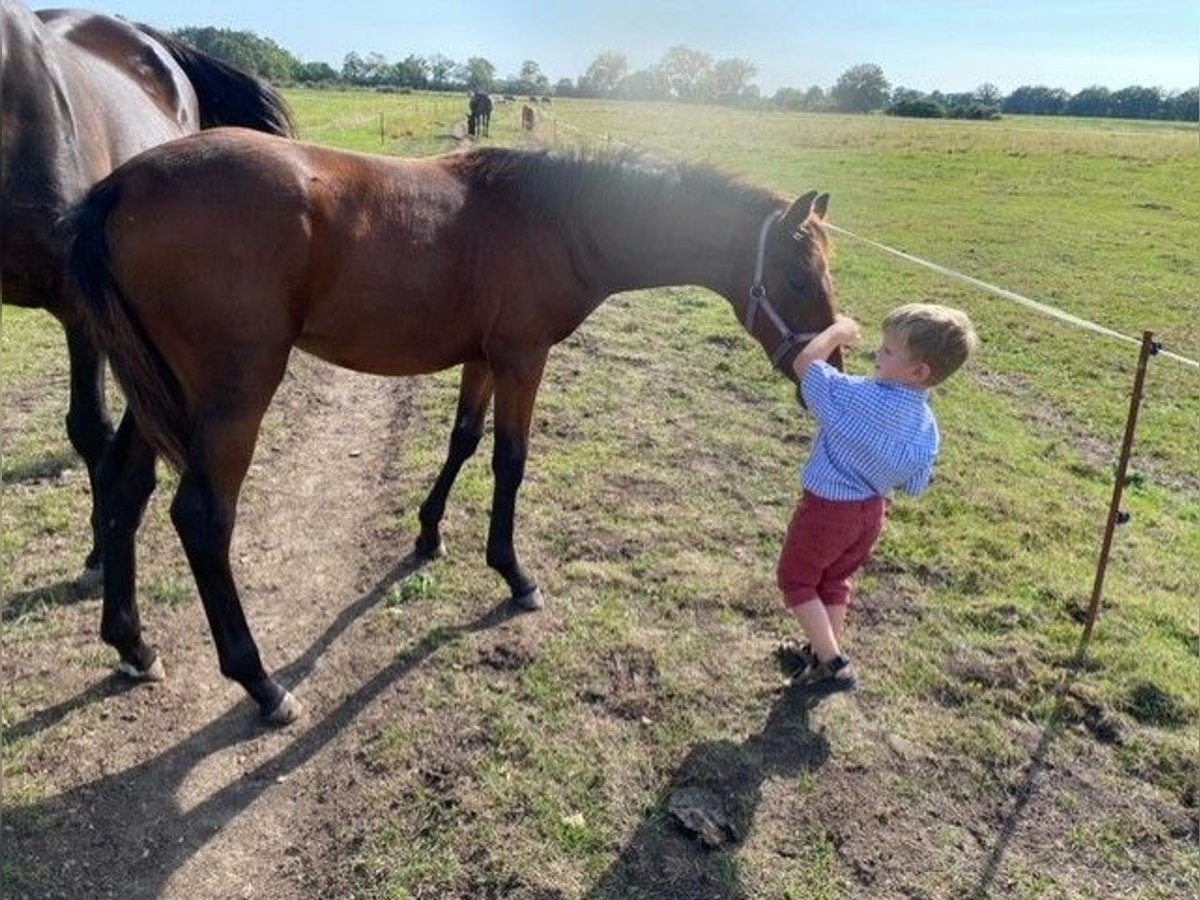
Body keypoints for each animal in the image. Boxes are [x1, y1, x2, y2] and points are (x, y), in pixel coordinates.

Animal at [63, 130, 835, 724]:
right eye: (799, 277)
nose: (829, 367)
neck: (556, 218)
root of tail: (120, 186)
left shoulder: (484, 358)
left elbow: (463, 441)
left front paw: (429, 533)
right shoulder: (523, 358)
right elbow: (510, 461)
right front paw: (514, 573)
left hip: (161, 391)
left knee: (122, 487)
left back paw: (132, 645)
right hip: (229, 398)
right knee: (202, 517)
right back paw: (260, 683)